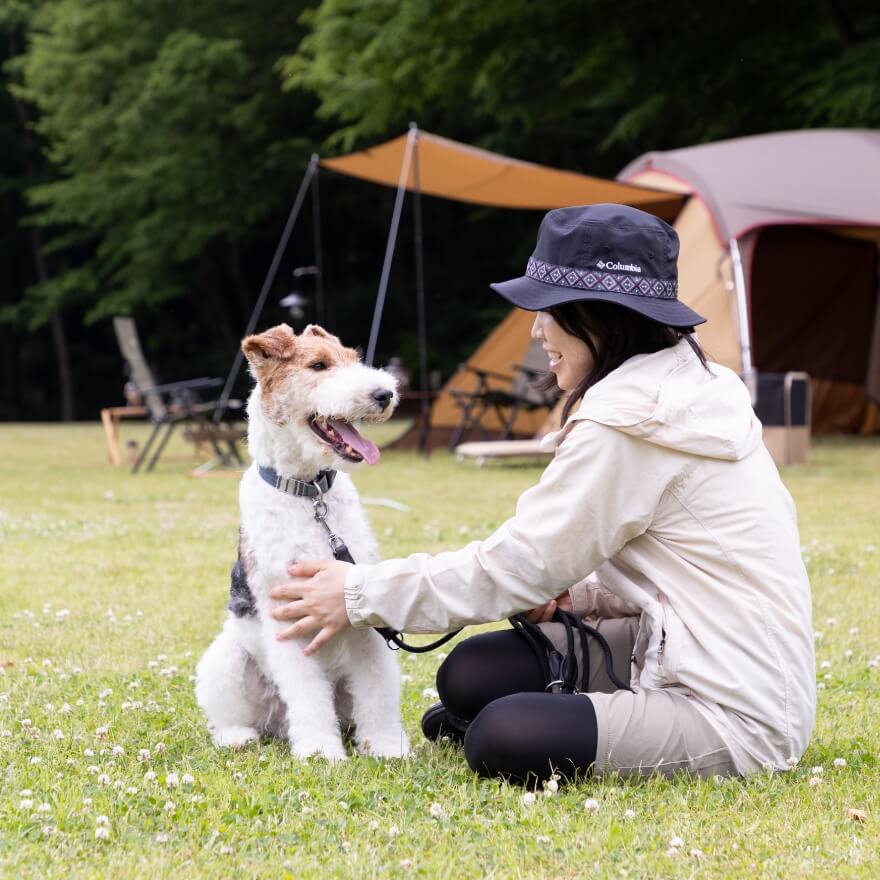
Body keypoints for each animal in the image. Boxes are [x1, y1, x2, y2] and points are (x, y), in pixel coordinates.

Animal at [196, 326, 410, 760]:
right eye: (318, 365)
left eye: (352, 358)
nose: (384, 394)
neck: (309, 494)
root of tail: (278, 722)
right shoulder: (287, 612)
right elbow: (308, 692)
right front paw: (320, 751)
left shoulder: (357, 602)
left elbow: (377, 687)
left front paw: (385, 744)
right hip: (226, 660)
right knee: (228, 716)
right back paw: (238, 736)